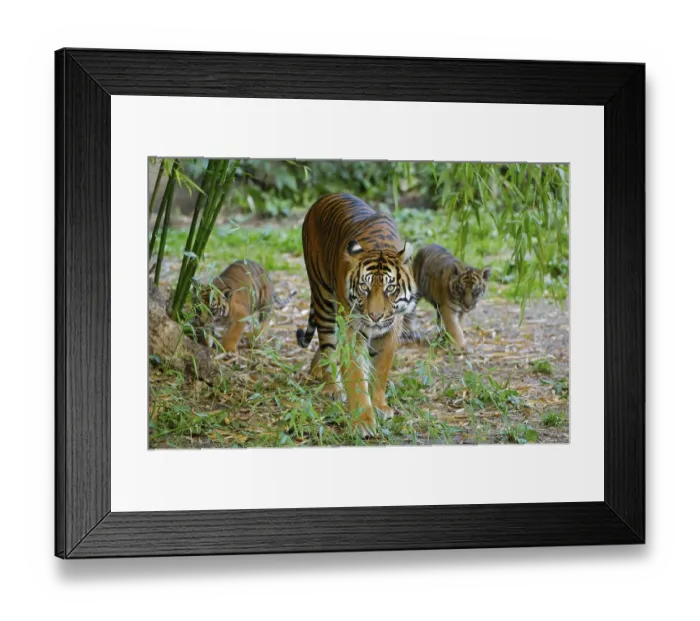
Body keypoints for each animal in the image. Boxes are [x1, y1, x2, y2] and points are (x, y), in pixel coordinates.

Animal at [296, 193, 417, 437]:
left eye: (390, 288)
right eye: (364, 287)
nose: (375, 316)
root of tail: (324, 197)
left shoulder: (390, 330)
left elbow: (381, 369)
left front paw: (380, 406)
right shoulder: (353, 330)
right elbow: (356, 374)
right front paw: (362, 421)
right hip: (323, 298)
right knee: (328, 345)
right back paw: (332, 387)